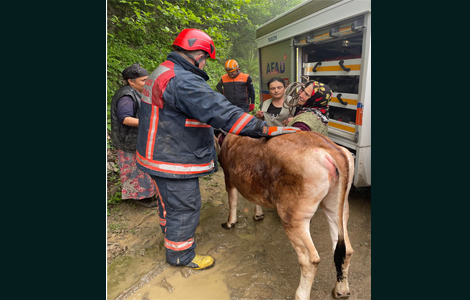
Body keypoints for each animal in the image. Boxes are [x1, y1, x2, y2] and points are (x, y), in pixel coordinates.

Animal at [215, 131, 354, 300]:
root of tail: (332, 149)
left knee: (310, 260)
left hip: (293, 216)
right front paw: (258, 215)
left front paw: (230, 223)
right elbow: (255, 199)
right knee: (345, 249)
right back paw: (341, 290)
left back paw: (301, 295)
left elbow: (232, 200)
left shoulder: (228, 175)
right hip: (337, 207)